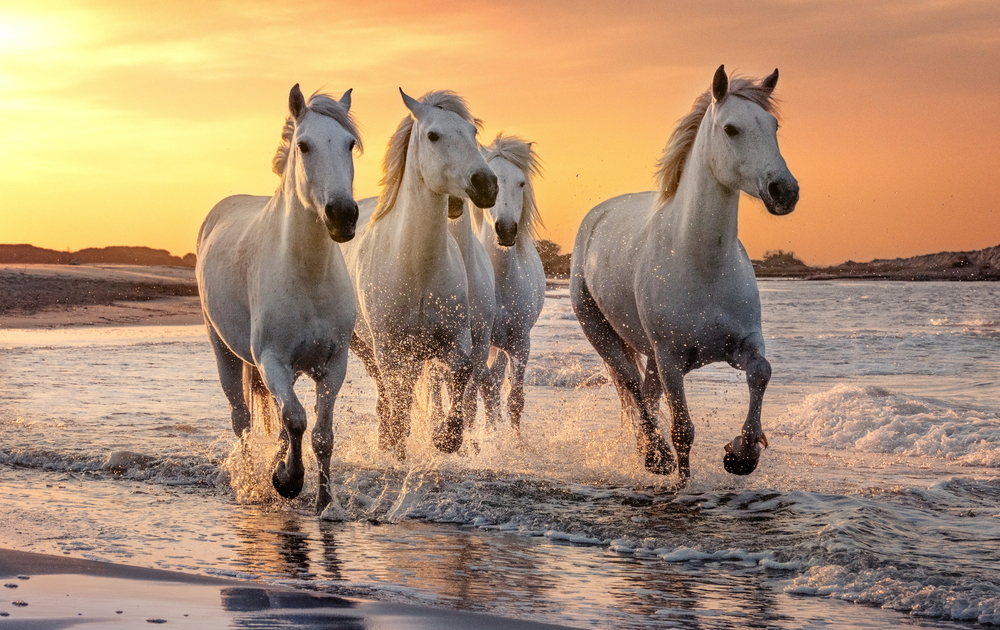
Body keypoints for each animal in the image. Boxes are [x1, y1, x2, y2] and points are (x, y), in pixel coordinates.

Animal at [196, 85, 361, 511]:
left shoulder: (333, 364)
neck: (307, 276)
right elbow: (297, 420)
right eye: (304, 145)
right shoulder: (271, 360)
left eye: (350, 144)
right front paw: (288, 481)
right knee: (242, 419)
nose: (342, 215)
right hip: (224, 351)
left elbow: (320, 434)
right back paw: (255, 483)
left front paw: (325, 503)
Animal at [340, 89, 498, 460]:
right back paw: (387, 441)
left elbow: (461, 375)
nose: (486, 184)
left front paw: (446, 438)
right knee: (387, 393)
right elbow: (398, 400)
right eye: (433, 135)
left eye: (473, 133)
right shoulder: (389, 348)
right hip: (366, 346)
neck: (418, 269)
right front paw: (397, 446)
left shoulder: (456, 340)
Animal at [570, 65, 799, 478]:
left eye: (773, 125)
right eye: (731, 129)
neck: (701, 264)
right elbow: (683, 432)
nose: (784, 191)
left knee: (645, 393)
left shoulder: (743, 343)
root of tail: (596, 217)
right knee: (632, 386)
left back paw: (648, 451)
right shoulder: (671, 360)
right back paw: (655, 455)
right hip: (602, 333)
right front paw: (683, 478)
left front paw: (742, 453)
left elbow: (761, 372)